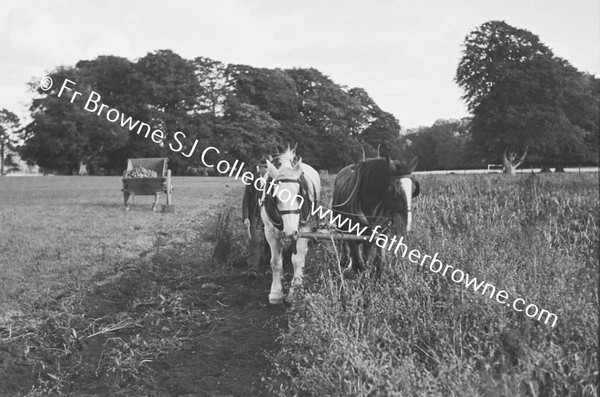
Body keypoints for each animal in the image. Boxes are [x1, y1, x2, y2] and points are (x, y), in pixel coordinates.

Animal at [260, 148, 322, 304]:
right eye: (274, 196)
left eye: (300, 195)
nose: (289, 232)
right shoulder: (270, 232)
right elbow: (276, 262)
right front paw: (276, 293)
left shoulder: (304, 229)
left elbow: (297, 260)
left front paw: (296, 289)